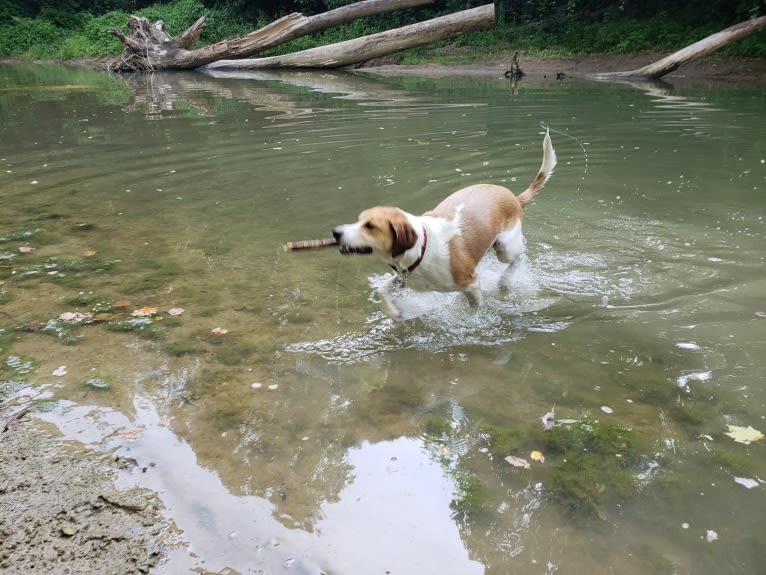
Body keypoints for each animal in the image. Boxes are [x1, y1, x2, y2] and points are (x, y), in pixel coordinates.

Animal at [332, 127, 556, 322]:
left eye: (370, 226)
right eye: (358, 219)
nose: (336, 232)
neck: (421, 249)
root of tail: (514, 198)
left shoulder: (471, 283)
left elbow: (475, 308)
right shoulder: (404, 280)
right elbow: (382, 290)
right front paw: (394, 313)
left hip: (505, 248)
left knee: (518, 258)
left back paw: (505, 281)